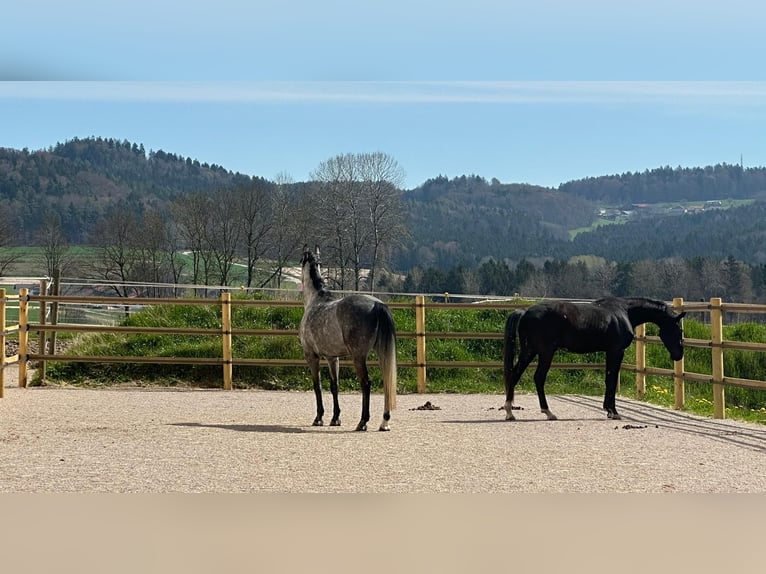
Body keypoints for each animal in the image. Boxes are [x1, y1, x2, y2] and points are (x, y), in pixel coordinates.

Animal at [298, 245, 397, 431]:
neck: (315, 301)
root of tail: (377, 305)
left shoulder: (311, 356)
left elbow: (317, 385)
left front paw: (319, 418)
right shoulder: (332, 358)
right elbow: (334, 386)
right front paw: (335, 418)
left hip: (358, 356)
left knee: (366, 383)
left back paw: (363, 422)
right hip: (381, 352)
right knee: (387, 382)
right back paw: (384, 422)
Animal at [503, 296, 685, 421]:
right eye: (679, 330)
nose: (678, 355)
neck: (624, 312)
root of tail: (525, 312)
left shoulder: (610, 352)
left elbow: (608, 379)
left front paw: (608, 410)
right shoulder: (616, 351)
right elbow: (611, 380)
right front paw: (613, 412)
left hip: (530, 351)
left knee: (515, 374)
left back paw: (510, 411)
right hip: (545, 352)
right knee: (538, 377)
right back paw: (548, 412)